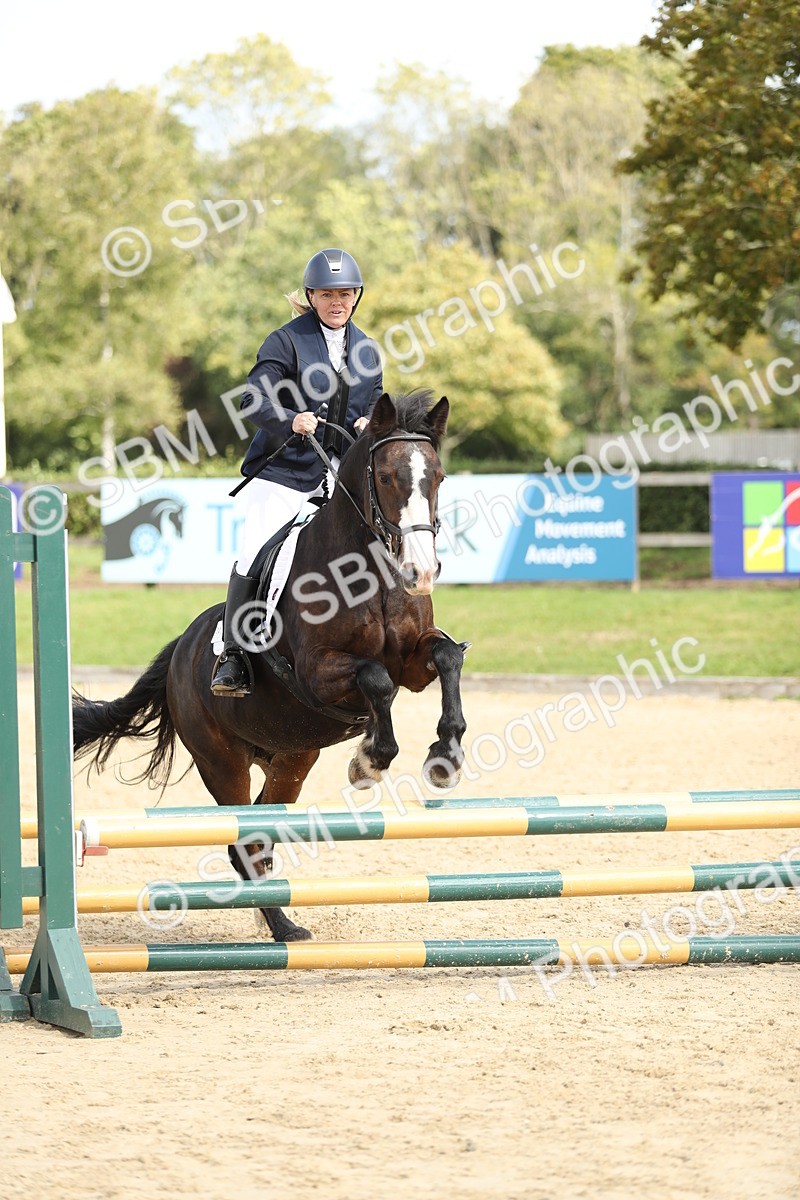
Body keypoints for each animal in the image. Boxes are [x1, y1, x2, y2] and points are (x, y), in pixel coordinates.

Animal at [73, 390, 468, 942]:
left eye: (439, 477)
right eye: (388, 477)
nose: (421, 571)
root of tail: (180, 650)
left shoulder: (414, 661)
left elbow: (446, 657)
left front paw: (444, 757)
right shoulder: (318, 674)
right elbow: (376, 680)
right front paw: (369, 761)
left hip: (291, 758)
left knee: (262, 834)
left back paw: (281, 923)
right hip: (222, 762)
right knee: (242, 838)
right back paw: (282, 927)